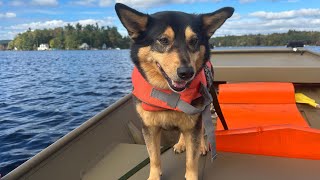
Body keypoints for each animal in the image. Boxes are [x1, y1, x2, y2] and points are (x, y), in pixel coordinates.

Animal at [116, 3, 234, 180]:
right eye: (163, 40)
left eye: (194, 40)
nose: (186, 73)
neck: (169, 94)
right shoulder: (149, 127)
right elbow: (154, 157)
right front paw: (154, 176)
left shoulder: (193, 124)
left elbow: (192, 160)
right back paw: (180, 143)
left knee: (203, 129)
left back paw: (202, 145)